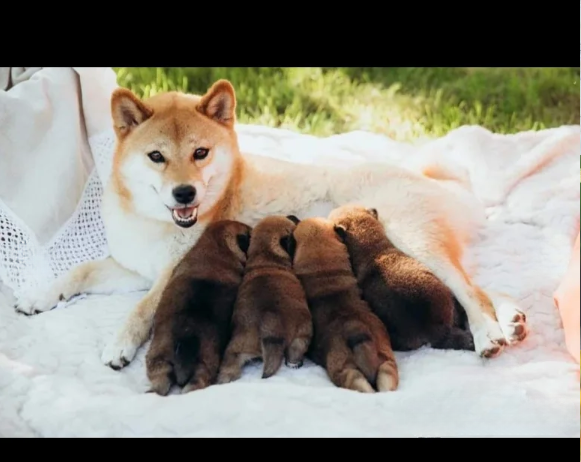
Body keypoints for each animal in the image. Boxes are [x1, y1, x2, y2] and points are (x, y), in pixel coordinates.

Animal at [216, 215, 312, 384]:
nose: (293, 216)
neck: (265, 256)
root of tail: (271, 322)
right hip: (303, 333)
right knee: (296, 350)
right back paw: (295, 363)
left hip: (238, 345)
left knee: (230, 362)